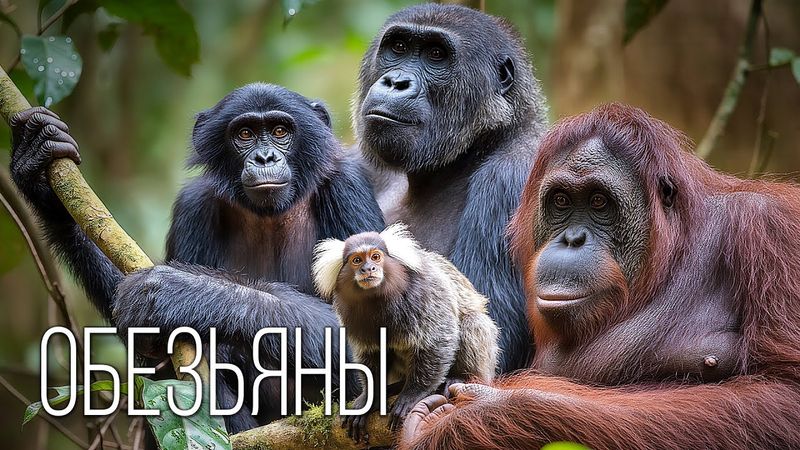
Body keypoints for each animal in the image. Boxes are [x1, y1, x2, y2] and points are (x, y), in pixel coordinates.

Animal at [312, 223, 498, 441]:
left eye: (375, 257)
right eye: (357, 260)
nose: (368, 269)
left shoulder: (425, 294)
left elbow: (438, 339)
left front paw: (412, 394)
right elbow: (371, 355)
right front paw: (369, 399)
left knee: (472, 321)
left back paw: (460, 377)